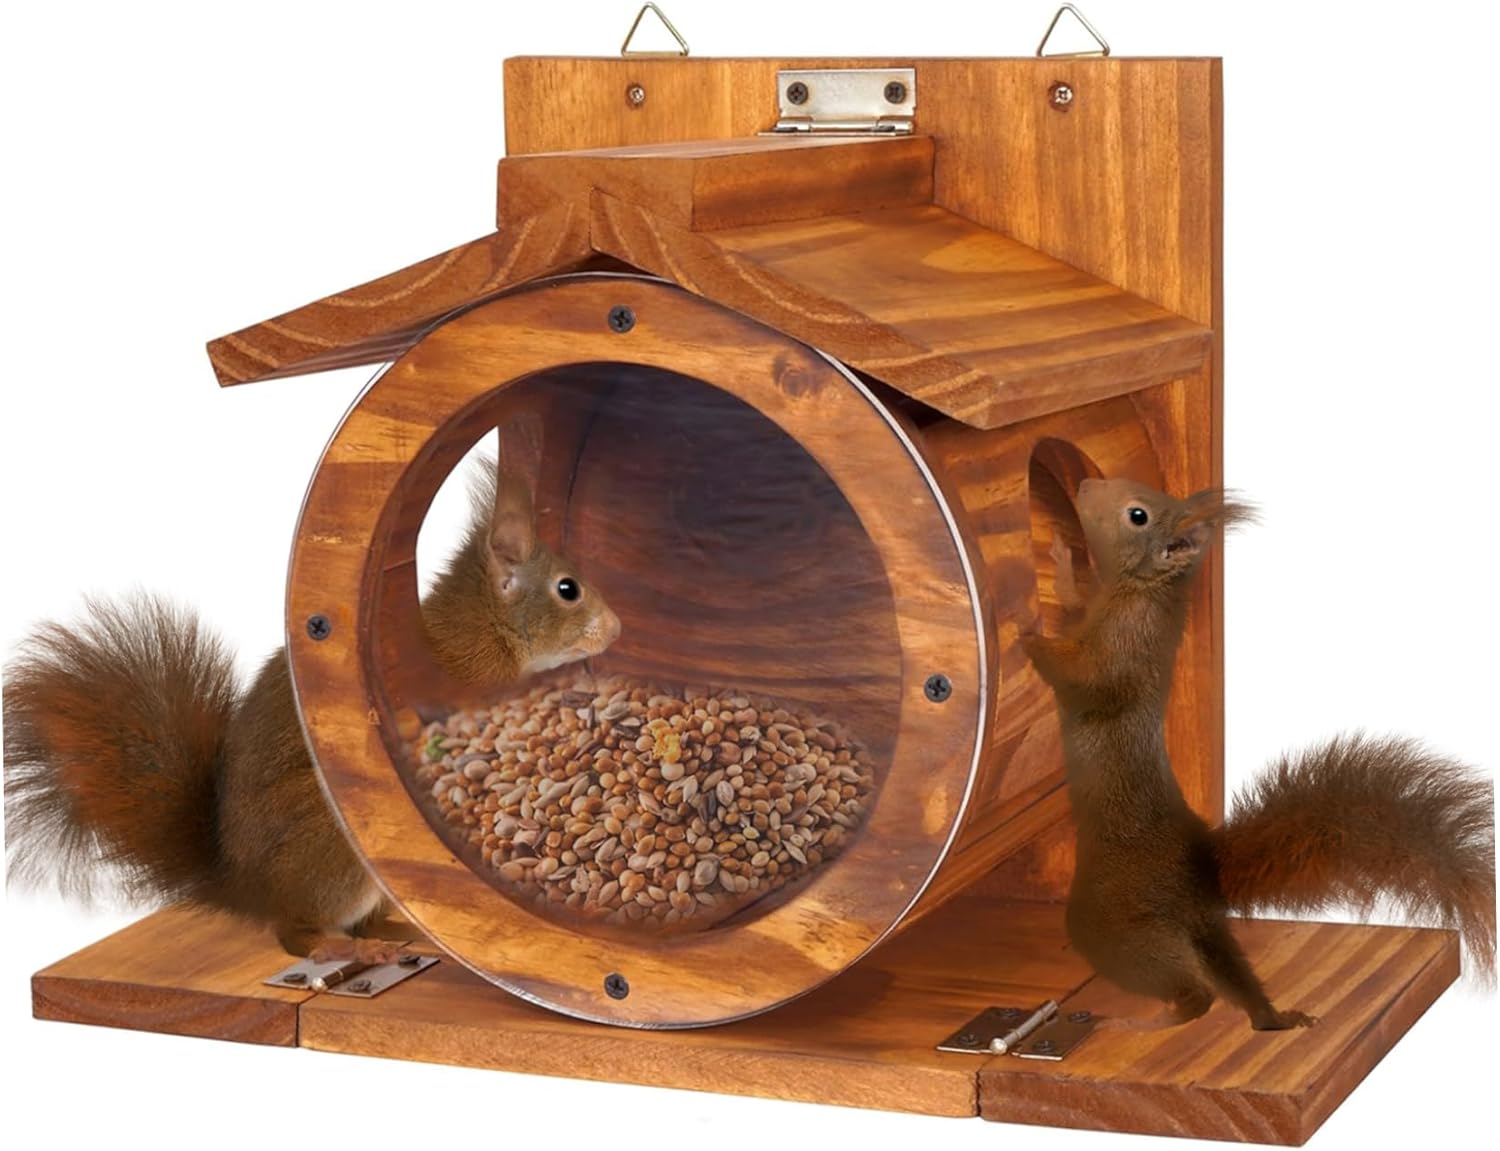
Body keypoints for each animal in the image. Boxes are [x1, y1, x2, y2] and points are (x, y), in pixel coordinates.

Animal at [3, 457, 621, 961]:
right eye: (568, 589)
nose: (617, 629)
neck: (489, 632)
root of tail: (246, 888)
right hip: (338, 836)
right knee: (295, 935)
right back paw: (335, 947)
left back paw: (400, 933)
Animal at [1021, 477, 1496, 1030]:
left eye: (1137, 514)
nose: (1084, 483)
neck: (1139, 591)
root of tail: (1202, 870)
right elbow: (1074, 602)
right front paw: (1059, 562)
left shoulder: (1123, 653)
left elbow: (1084, 682)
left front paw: (1027, 638)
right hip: (1204, 929)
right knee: (1232, 977)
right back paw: (1273, 1018)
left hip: (1113, 922)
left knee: (1193, 989)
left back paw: (1148, 1020)